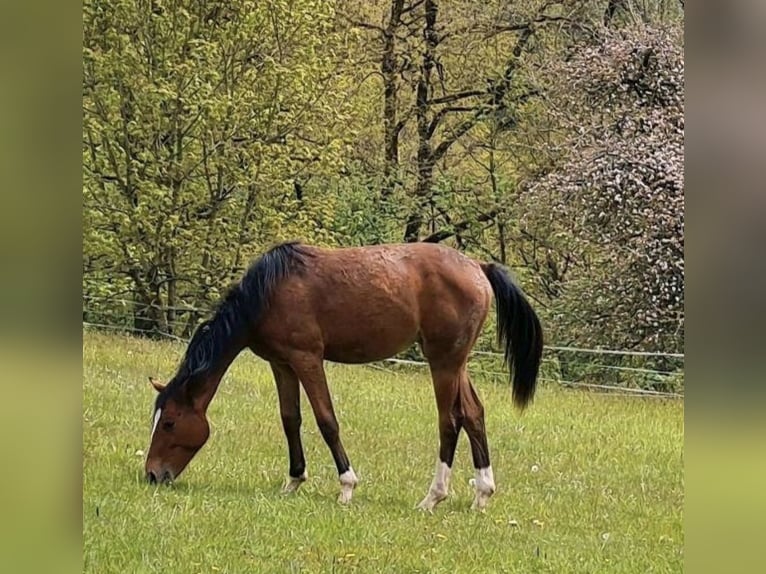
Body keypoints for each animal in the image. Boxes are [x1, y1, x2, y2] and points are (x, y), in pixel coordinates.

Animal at [141, 240, 544, 512]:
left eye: (170, 423)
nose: (152, 476)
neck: (268, 293)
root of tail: (477, 266)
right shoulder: (281, 364)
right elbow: (290, 419)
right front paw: (293, 480)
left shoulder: (307, 359)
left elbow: (326, 420)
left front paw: (347, 486)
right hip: (456, 364)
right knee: (473, 414)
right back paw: (482, 493)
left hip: (443, 362)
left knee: (450, 420)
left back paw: (433, 497)